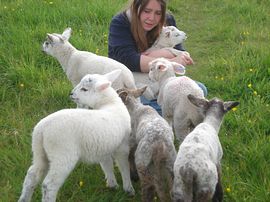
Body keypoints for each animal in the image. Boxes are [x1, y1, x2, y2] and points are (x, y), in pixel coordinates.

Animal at [17, 70, 134, 202]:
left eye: (84, 89)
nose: (71, 94)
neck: (110, 104)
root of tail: (42, 129)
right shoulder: (122, 146)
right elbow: (124, 166)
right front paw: (129, 188)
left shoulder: (103, 147)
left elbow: (107, 164)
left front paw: (112, 184)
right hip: (62, 154)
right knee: (49, 184)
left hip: (39, 151)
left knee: (32, 175)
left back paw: (24, 198)